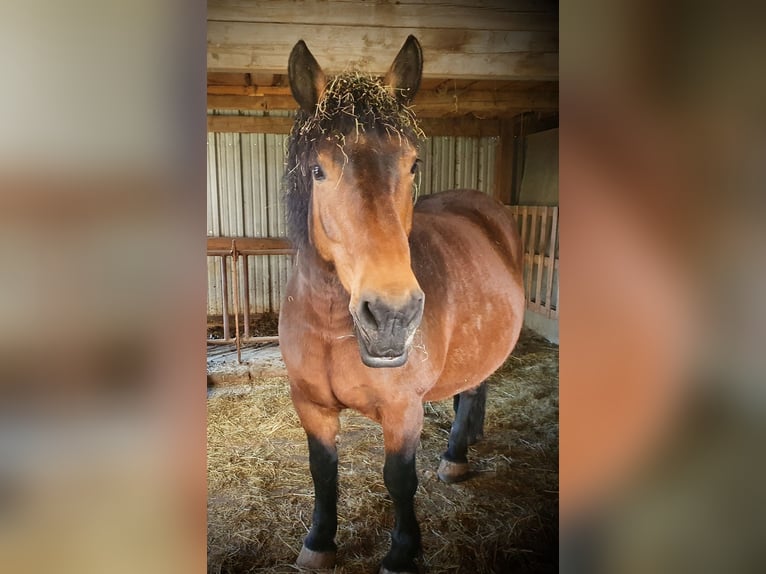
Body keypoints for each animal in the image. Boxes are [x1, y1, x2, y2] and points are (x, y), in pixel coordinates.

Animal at [280, 36, 528, 574]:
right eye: (318, 170)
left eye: (412, 164)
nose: (391, 316)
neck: (331, 324)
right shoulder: (311, 406)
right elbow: (322, 472)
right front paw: (319, 543)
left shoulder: (402, 411)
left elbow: (399, 481)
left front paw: (401, 553)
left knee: (474, 390)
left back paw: (454, 458)